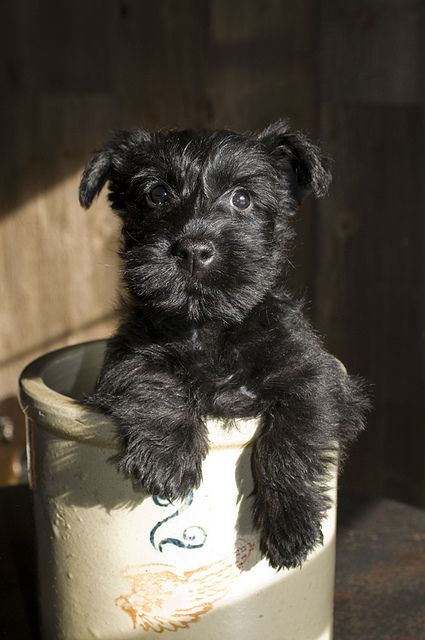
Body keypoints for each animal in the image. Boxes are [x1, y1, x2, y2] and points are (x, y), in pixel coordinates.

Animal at [79, 121, 368, 568]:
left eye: (242, 198)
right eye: (157, 193)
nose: (193, 250)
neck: (209, 326)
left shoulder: (315, 377)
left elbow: (293, 438)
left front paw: (292, 525)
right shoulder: (126, 355)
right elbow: (151, 377)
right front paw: (168, 456)